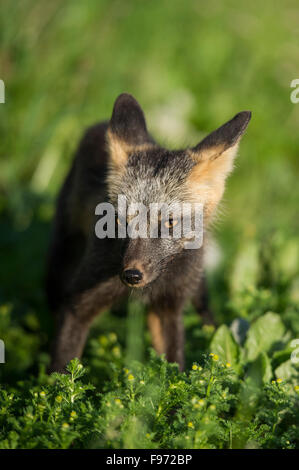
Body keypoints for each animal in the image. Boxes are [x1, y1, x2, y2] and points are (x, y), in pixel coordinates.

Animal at [45, 93, 251, 372]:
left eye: (170, 222)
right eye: (118, 221)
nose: (132, 275)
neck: (151, 287)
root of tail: (97, 126)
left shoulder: (169, 308)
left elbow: (174, 367)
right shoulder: (78, 303)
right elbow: (61, 371)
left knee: (205, 307)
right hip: (62, 258)